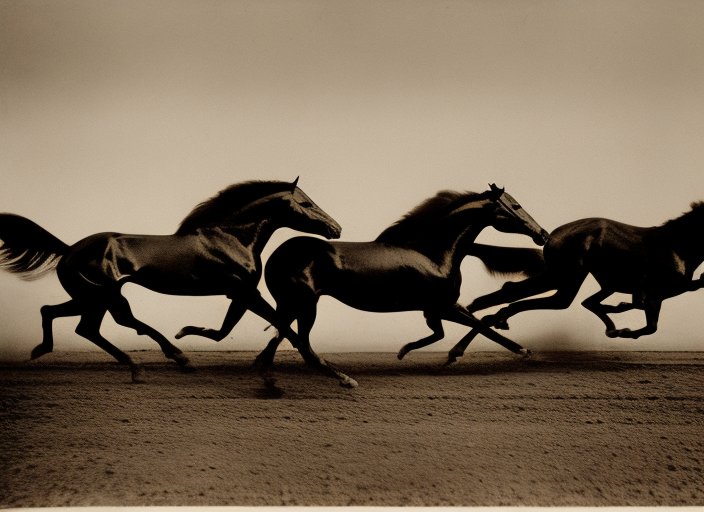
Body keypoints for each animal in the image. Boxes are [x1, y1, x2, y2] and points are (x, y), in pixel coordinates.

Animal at [0, 178, 342, 382]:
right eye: (307, 204)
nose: (336, 228)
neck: (230, 237)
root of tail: (69, 249)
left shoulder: (238, 294)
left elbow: (224, 331)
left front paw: (188, 332)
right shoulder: (246, 292)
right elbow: (284, 326)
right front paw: (331, 371)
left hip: (91, 296)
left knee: (61, 316)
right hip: (102, 295)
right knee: (95, 326)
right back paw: (159, 362)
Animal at [214, 182, 552, 378]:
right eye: (516, 206)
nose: (543, 234)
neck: (431, 251)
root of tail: (277, 253)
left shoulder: (436, 308)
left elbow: (444, 332)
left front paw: (405, 351)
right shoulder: (444, 305)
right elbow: (480, 325)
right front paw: (521, 350)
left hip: (293, 304)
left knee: (280, 334)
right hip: (305, 304)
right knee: (291, 336)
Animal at [440, 200, 704, 364]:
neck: (678, 246)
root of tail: (550, 236)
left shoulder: (650, 290)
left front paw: (616, 320)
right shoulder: (647, 289)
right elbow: (647, 321)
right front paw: (621, 327)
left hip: (559, 275)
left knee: (508, 293)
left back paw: (479, 324)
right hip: (567, 276)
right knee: (539, 299)